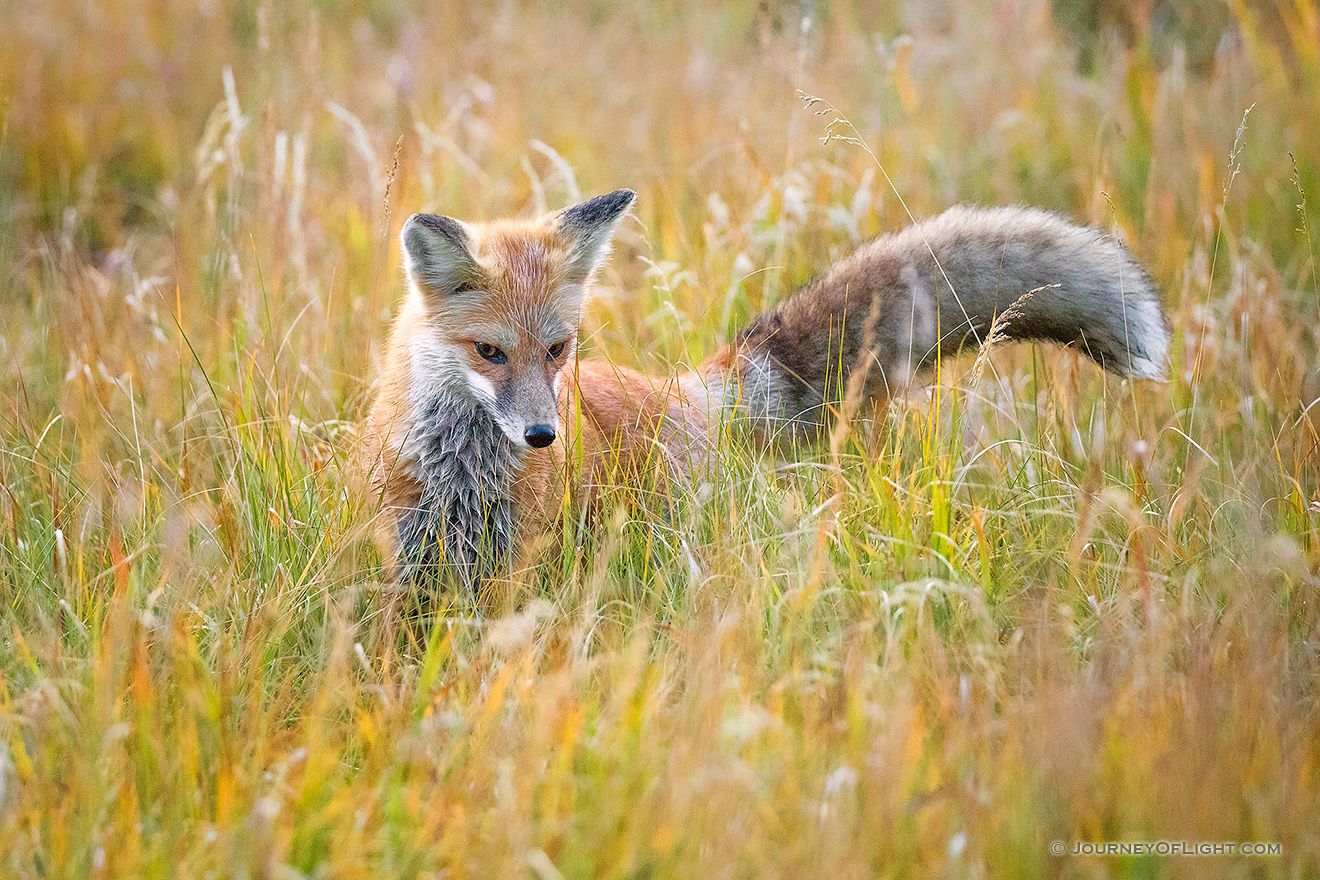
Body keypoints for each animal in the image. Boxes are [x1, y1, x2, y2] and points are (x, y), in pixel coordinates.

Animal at [359, 189, 1166, 588]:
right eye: (489, 352)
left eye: (557, 350)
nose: (541, 436)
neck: (462, 466)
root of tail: (680, 391)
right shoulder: (405, 553)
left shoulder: (513, 564)